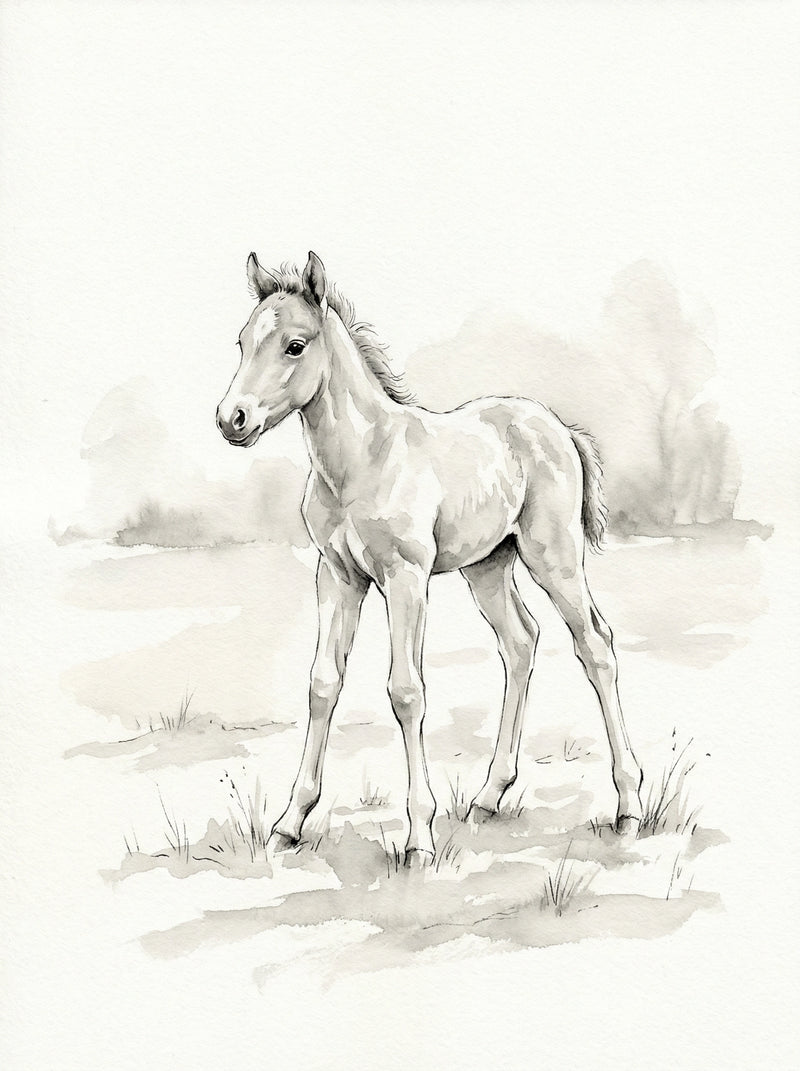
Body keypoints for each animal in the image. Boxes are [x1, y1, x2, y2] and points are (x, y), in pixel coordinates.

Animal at [216, 251, 643, 866]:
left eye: (295, 345)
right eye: (242, 341)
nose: (233, 419)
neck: (363, 461)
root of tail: (557, 427)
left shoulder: (405, 578)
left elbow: (406, 691)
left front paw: (419, 838)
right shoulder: (337, 578)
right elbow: (323, 684)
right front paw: (289, 823)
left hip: (553, 556)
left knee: (596, 644)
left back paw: (629, 806)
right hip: (488, 567)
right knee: (521, 642)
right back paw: (489, 797)